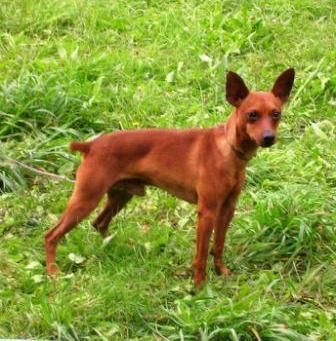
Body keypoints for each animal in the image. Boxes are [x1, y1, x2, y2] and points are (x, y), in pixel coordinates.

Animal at [44, 67, 294, 286]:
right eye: (252, 115)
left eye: (276, 114)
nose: (269, 138)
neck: (229, 150)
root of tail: (91, 146)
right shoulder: (207, 212)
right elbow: (201, 254)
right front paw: (199, 286)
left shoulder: (227, 209)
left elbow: (219, 246)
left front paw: (222, 272)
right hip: (86, 199)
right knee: (51, 235)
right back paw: (53, 272)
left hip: (120, 197)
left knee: (99, 223)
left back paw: (114, 248)